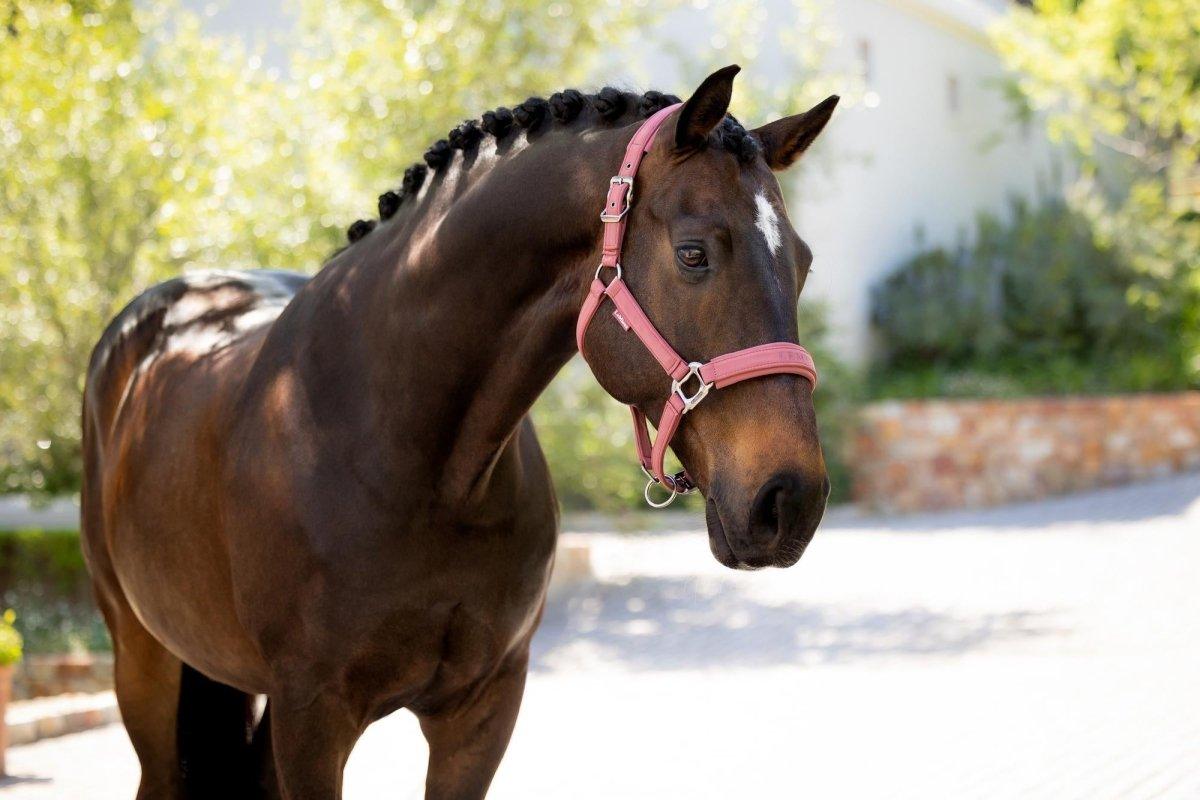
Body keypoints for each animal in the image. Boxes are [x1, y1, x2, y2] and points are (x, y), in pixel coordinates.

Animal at [82, 67, 835, 800]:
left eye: (803, 263)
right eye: (693, 253)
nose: (791, 500)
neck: (413, 458)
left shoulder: (483, 707)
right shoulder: (311, 715)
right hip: (143, 661)